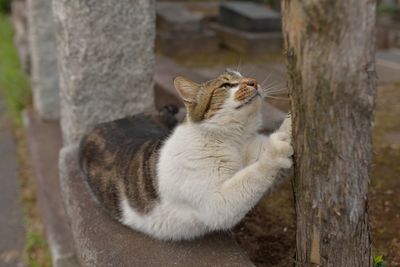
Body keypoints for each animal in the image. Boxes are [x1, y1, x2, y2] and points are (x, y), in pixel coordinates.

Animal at [79, 70, 292, 242]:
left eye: (243, 77)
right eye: (225, 85)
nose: (253, 81)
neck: (231, 141)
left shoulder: (250, 148)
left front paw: (291, 120)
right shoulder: (215, 203)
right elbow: (253, 175)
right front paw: (276, 153)